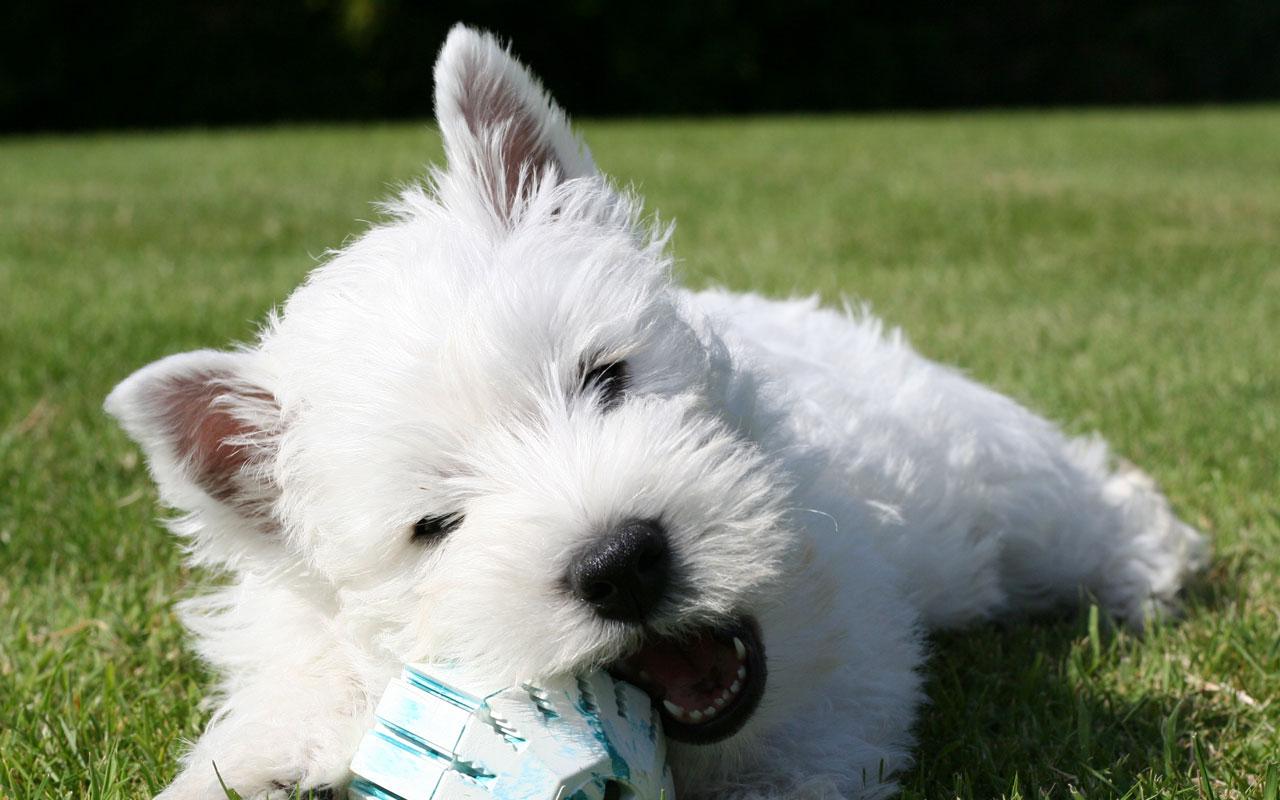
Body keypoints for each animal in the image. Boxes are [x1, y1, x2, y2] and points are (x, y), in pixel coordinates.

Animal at [110, 24, 1208, 798]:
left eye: (605, 377)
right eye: (434, 526)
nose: (621, 562)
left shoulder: (839, 677)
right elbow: (299, 679)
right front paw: (262, 762)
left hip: (991, 477)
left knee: (1075, 505)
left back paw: (1145, 567)